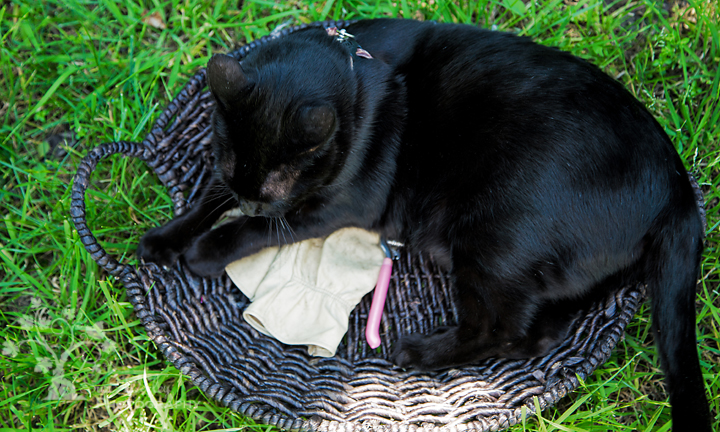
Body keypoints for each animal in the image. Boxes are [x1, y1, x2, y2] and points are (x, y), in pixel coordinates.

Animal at [138, 19, 712, 428]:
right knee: (539, 333)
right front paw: (164, 240)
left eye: (272, 195)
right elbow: (207, 198)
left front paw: (207, 250)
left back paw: (420, 351)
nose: (254, 203)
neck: (356, 71)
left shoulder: (336, 205)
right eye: (231, 165)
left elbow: (257, 231)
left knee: (497, 326)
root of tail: (678, 186)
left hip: (492, 240)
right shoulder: (230, 175)